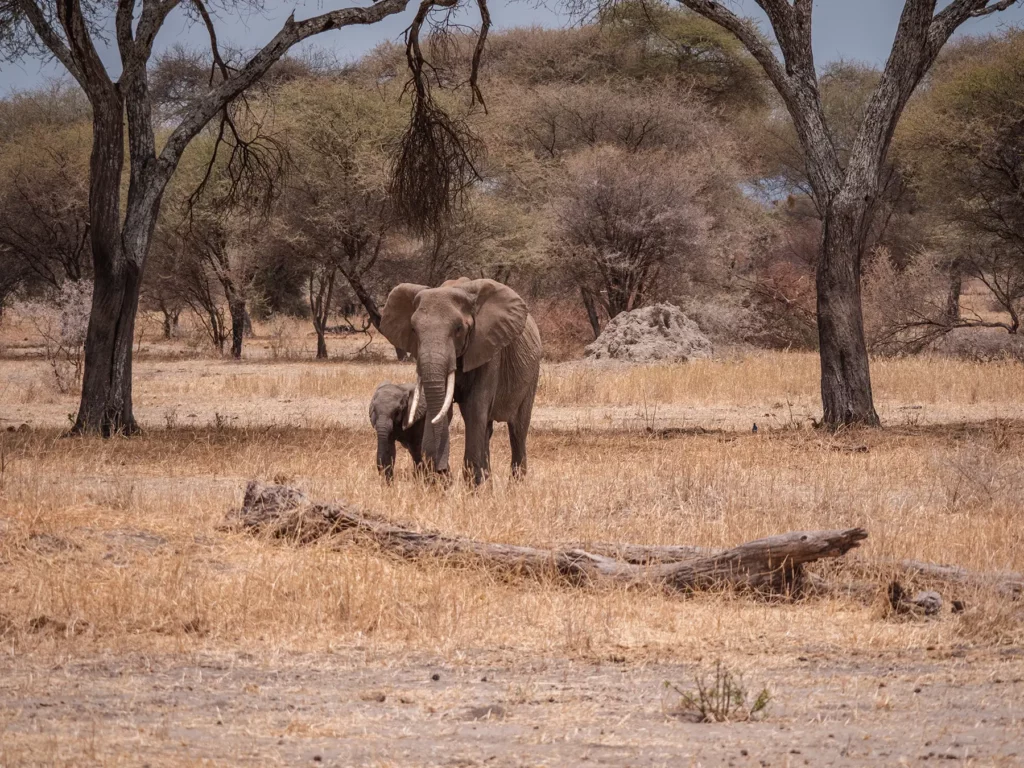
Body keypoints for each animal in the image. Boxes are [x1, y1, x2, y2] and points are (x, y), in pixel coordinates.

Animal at [379, 277, 543, 484]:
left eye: (458, 329)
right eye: (414, 330)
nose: (442, 470)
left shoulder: (487, 348)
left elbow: (475, 407)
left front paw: (471, 486)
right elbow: (443, 409)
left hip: (532, 373)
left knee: (518, 429)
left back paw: (515, 485)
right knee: (487, 429)